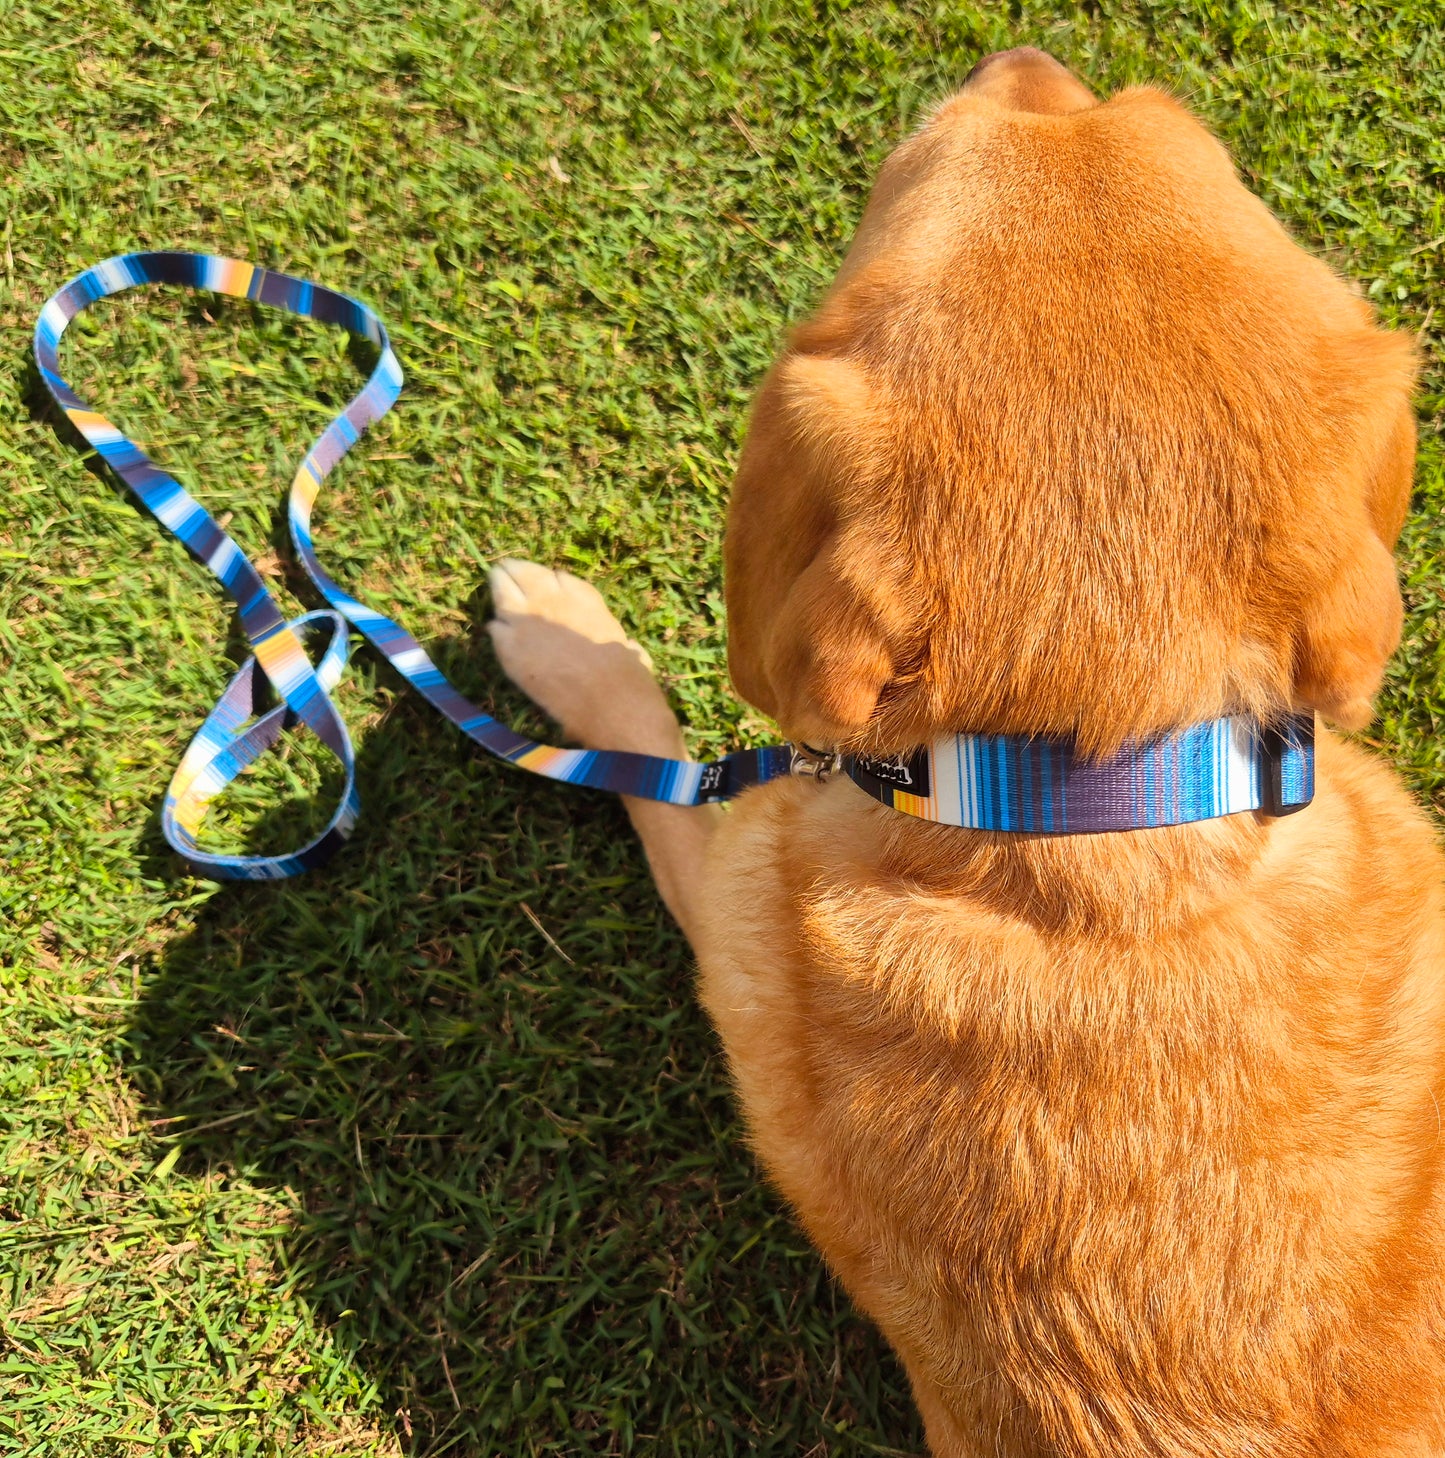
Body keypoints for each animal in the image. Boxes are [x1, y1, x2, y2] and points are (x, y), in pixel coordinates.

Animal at [487, 45, 1445, 1458]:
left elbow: (655, 768)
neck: (1099, 803)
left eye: (907, 172)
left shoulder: (735, 904)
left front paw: (561, 636)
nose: (1025, 54)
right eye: (1178, 133)